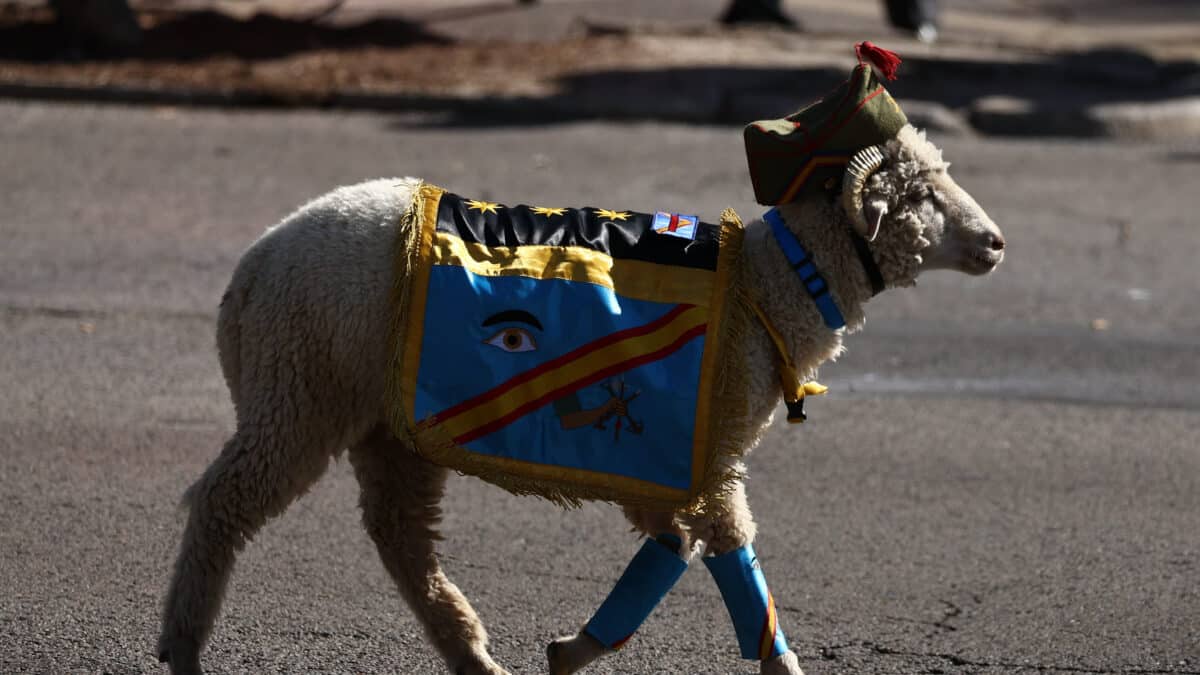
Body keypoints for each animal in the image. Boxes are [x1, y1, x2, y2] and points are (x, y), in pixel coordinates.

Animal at [154, 121, 1008, 672]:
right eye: (926, 193)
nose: (998, 243)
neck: (775, 284)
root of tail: (250, 269)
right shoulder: (712, 451)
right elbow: (729, 552)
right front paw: (782, 666)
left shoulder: (673, 458)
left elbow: (671, 550)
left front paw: (572, 650)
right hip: (298, 390)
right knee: (224, 502)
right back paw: (184, 644)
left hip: (385, 423)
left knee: (399, 536)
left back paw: (471, 651)